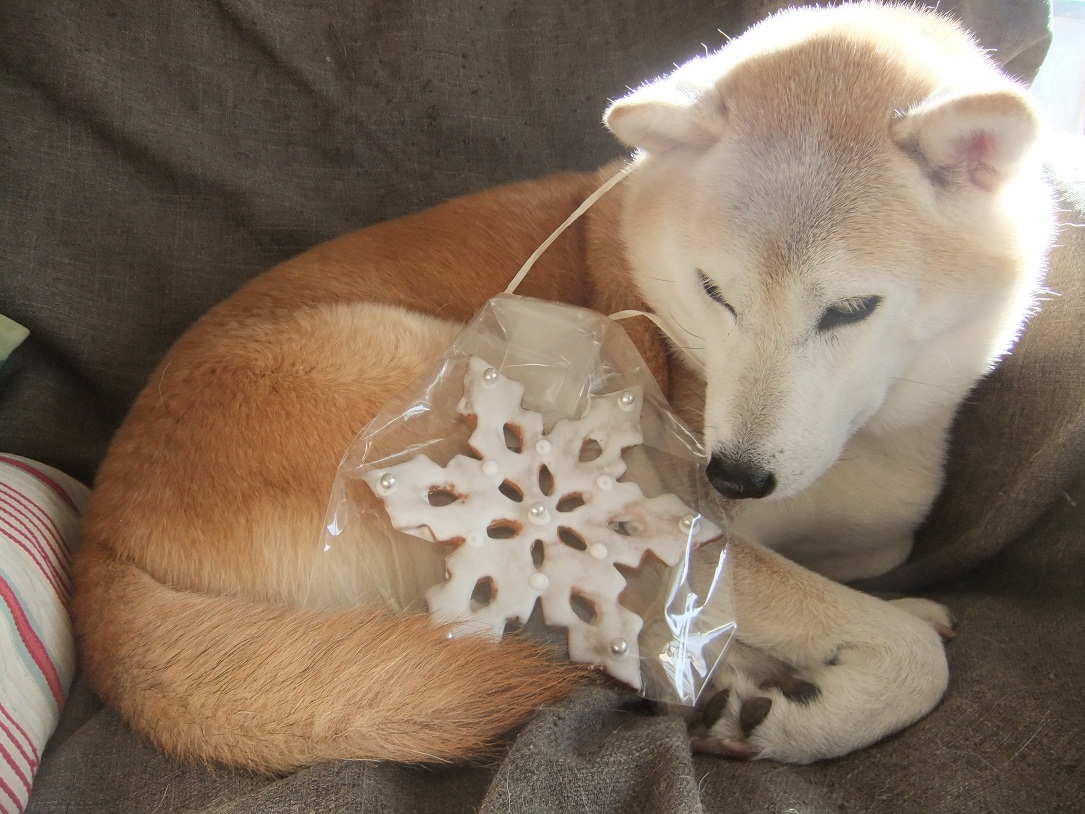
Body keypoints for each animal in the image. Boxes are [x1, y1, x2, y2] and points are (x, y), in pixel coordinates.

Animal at [74, 2, 1055, 772]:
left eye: (849, 308)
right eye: (714, 292)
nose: (731, 478)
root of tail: (100, 553)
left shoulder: (852, 541)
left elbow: (855, 592)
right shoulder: (688, 530)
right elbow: (905, 654)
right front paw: (823, 704)